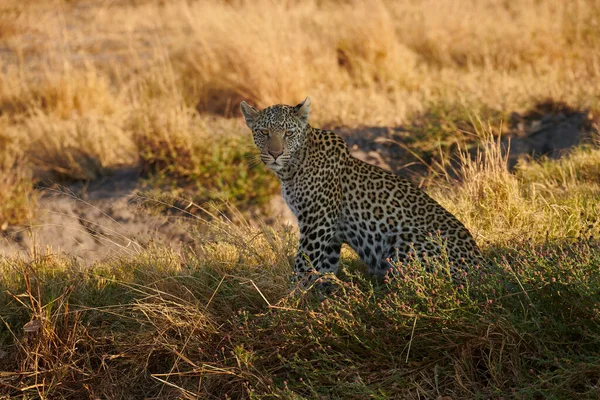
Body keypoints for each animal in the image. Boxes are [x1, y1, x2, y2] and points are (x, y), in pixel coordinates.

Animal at [239, 97, 482, 284]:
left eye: (288, 133)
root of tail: (482, 266)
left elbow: (303, 264)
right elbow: (324, 267)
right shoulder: (330, 232)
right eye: (263, 132)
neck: (293, 167)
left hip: (405, 239)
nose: (275, 154)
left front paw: (289, 300)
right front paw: (324, 296)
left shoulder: (317, 222)